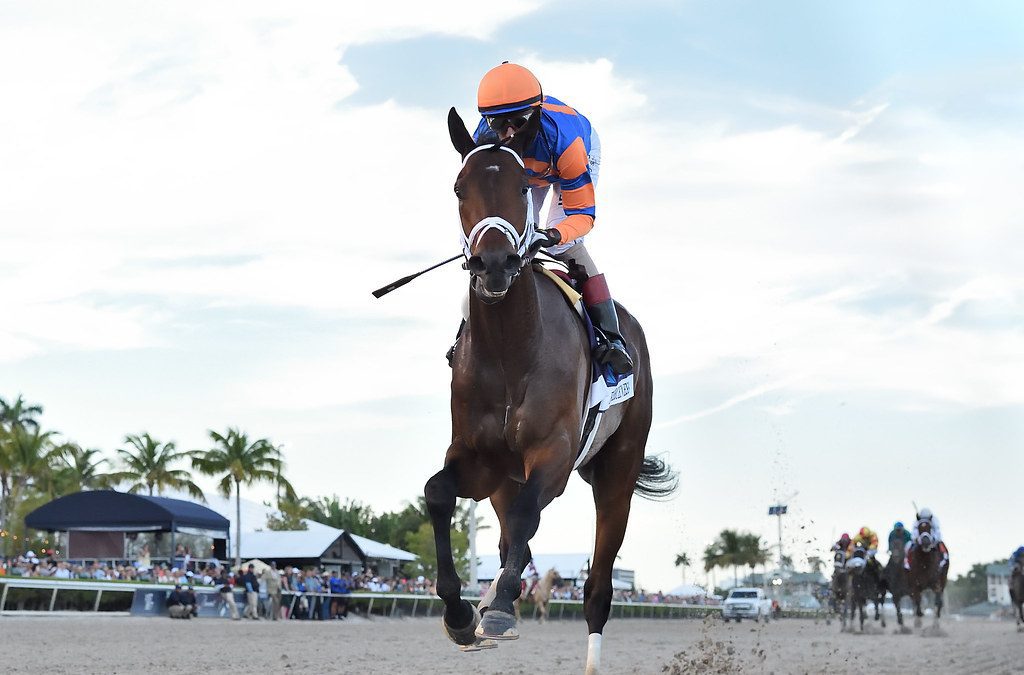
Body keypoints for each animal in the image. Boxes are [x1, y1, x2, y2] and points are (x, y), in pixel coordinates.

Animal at [421, 108, 671, 671]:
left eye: (522, 187)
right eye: (459, 188)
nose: (494, 263)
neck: (510, 350)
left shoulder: (554, 454)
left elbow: (528, 514)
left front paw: (495, 610)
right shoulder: (479, 459)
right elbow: (439, 493)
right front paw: (461, 614)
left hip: (617, 473)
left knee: (597, 588)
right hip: (504, 479)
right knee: (511, 537)